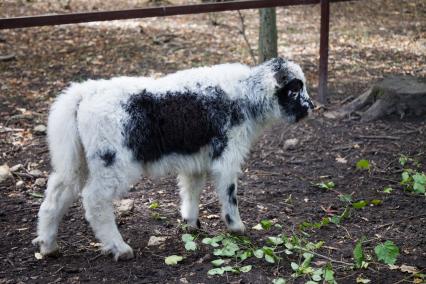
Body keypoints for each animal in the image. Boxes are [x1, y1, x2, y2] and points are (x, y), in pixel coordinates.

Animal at [32, 57, 312, 260]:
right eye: (294, 88)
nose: (310, 108)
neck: (246, 95)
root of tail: (83, 94)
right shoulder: (227, 156)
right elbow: (229, 193)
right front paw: (237, 227)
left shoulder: (196, 160)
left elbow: (191, 190)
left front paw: (191, 223)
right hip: (112, 162)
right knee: (95, 201)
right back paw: (119, 248)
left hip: (76, 159)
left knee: (56, 195)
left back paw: (48, 245)